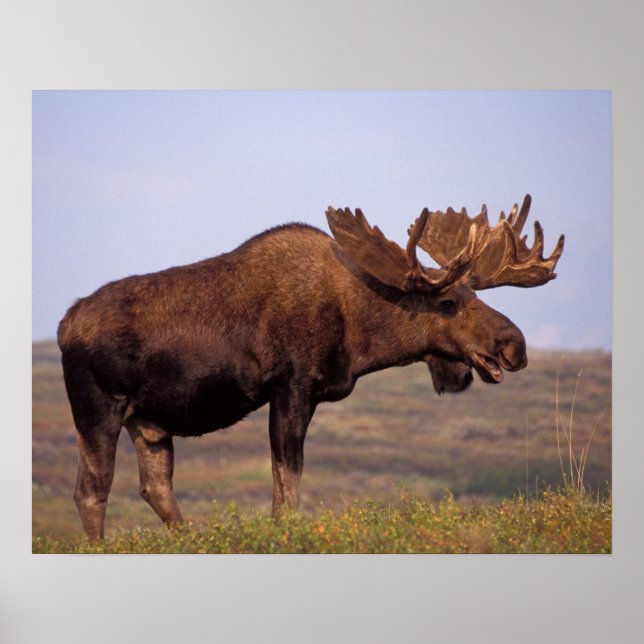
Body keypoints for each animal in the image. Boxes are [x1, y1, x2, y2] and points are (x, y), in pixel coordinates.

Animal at [57, 194, 564, 539]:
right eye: (448, 302)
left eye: (475, 294)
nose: (514, 346)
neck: (359, 331)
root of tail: (64, 325)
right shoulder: (291, 387)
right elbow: (288, 480)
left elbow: (283, 482)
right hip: (98, 409)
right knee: (91, 490)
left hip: (148, 422)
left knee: (155, 487)